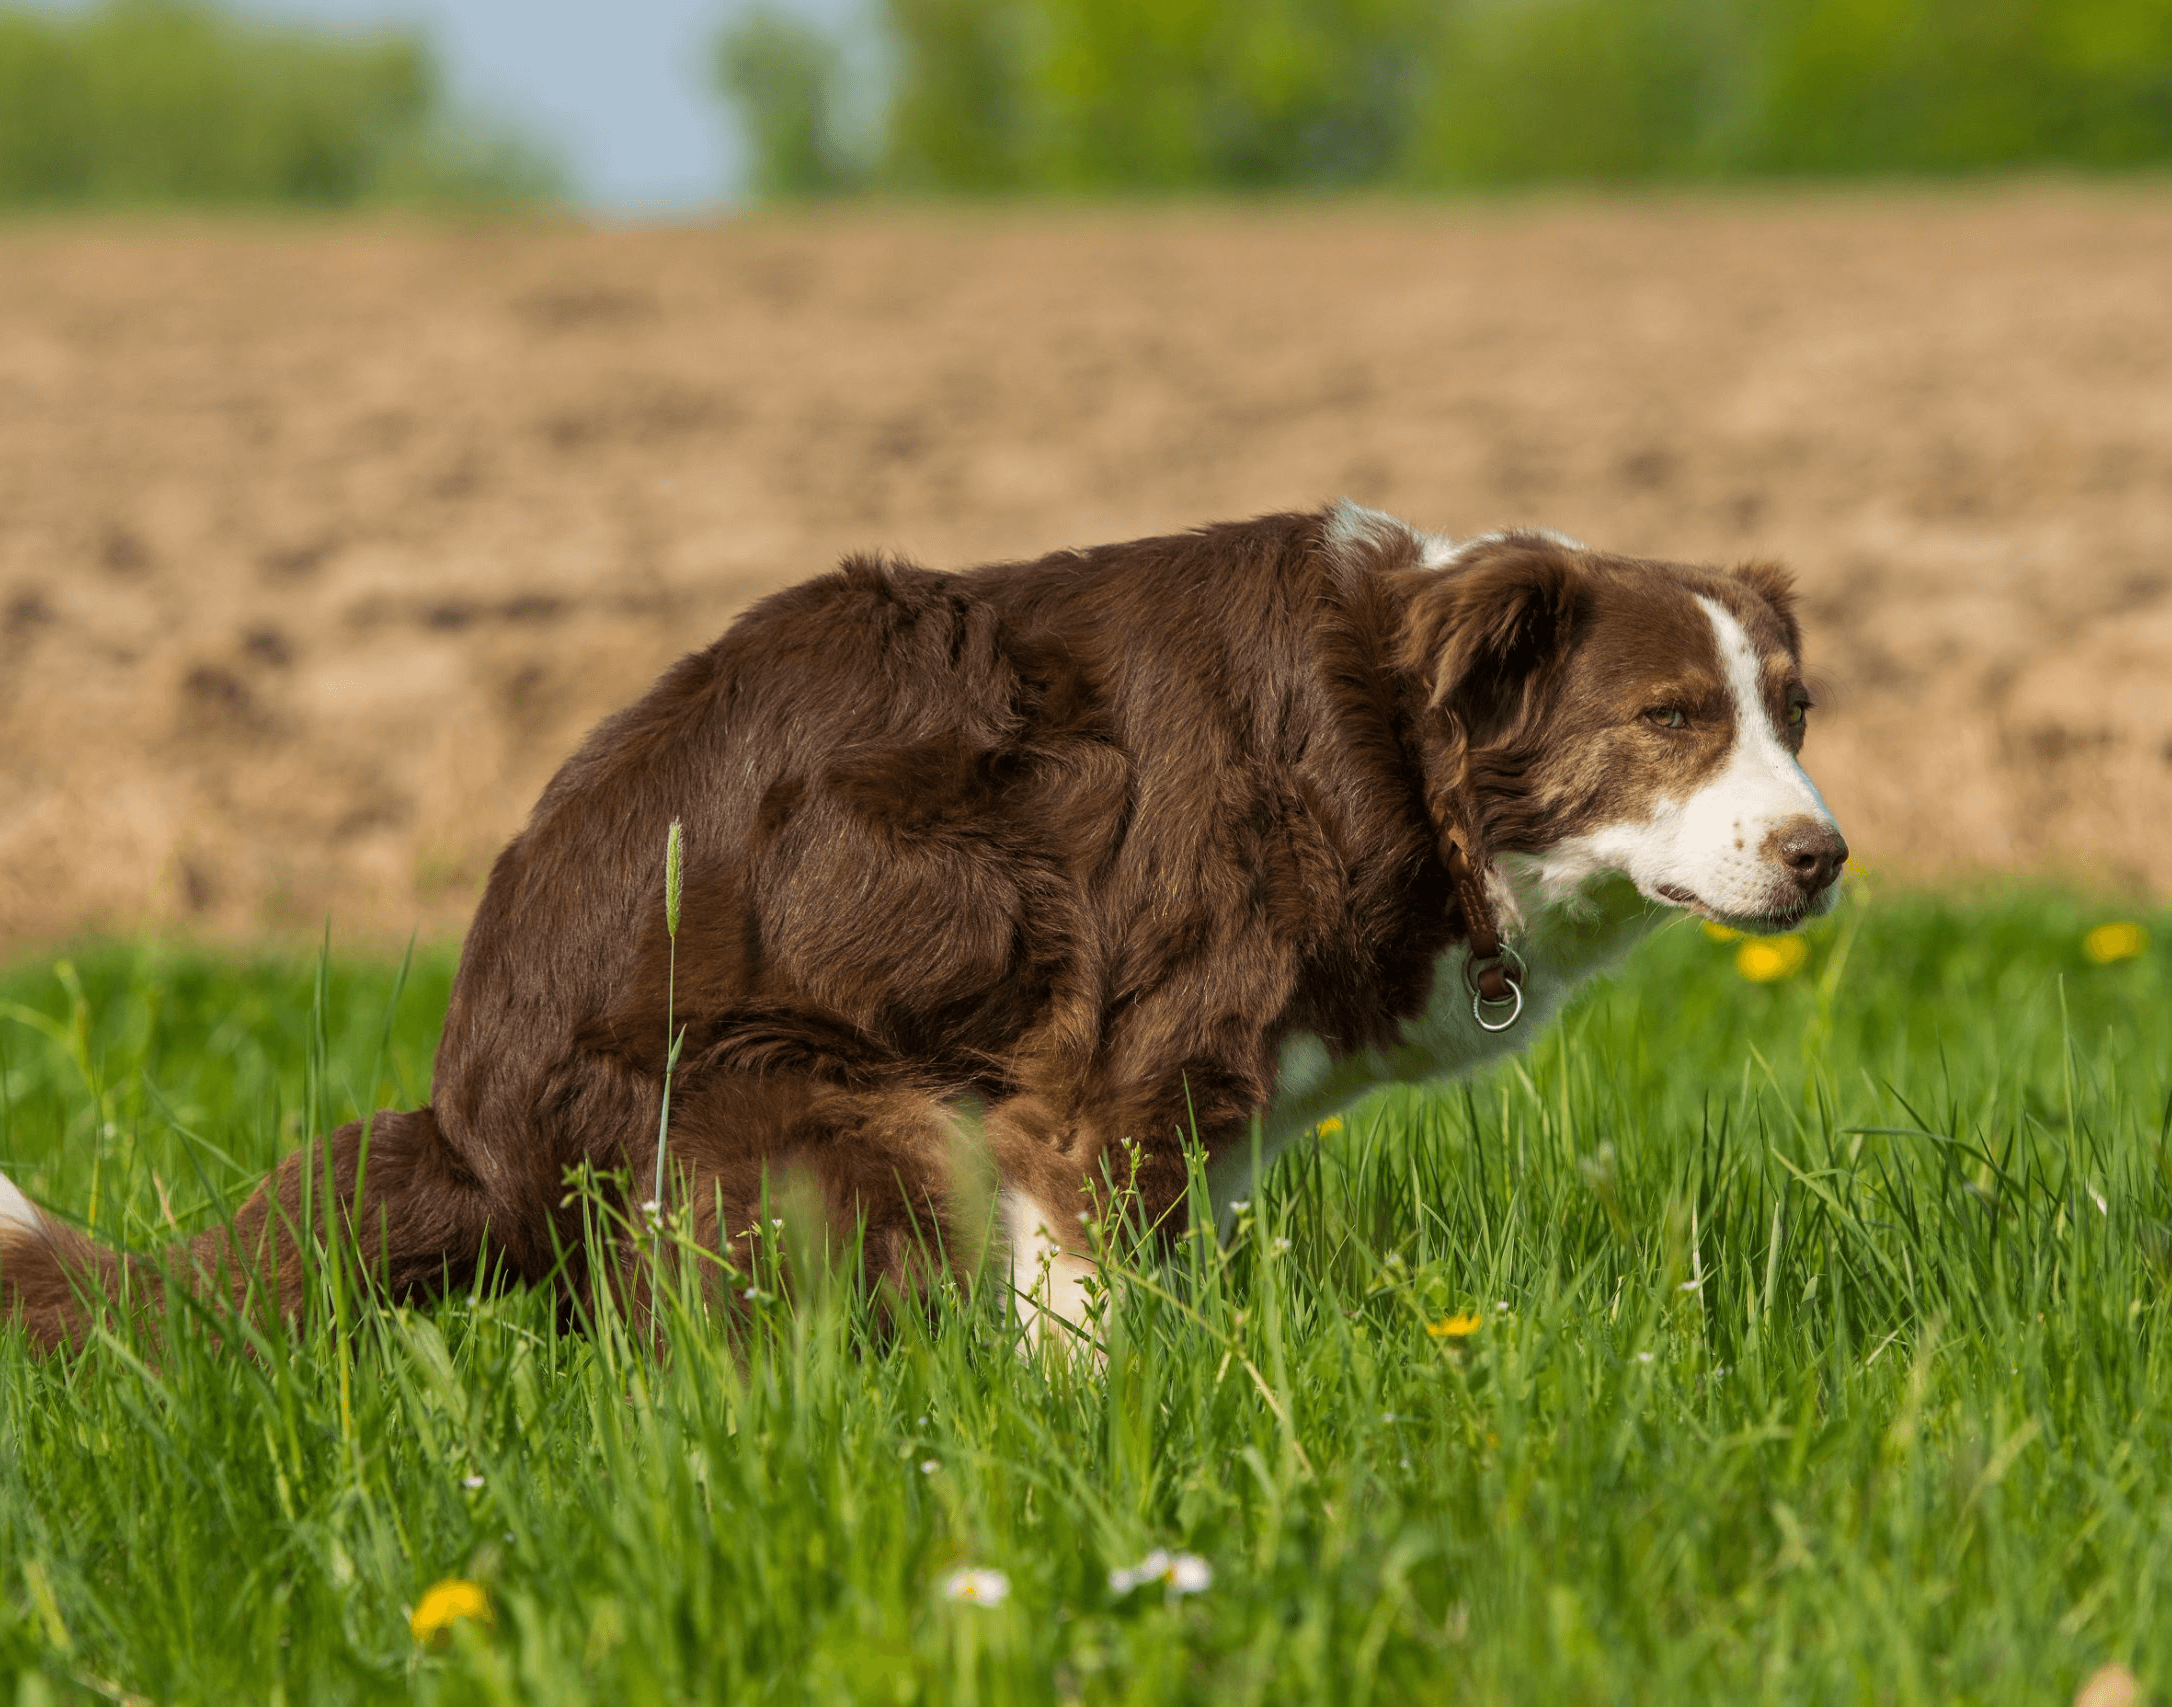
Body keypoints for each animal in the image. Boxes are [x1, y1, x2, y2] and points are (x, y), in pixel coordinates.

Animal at [0, 499, 1841, 1346]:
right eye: (1671, 717)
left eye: (1794, 710)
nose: (1824, 854)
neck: (1395, 737)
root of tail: (468, 1126)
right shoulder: (1111, 1063)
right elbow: (1089, 1298)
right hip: (828, 1100)